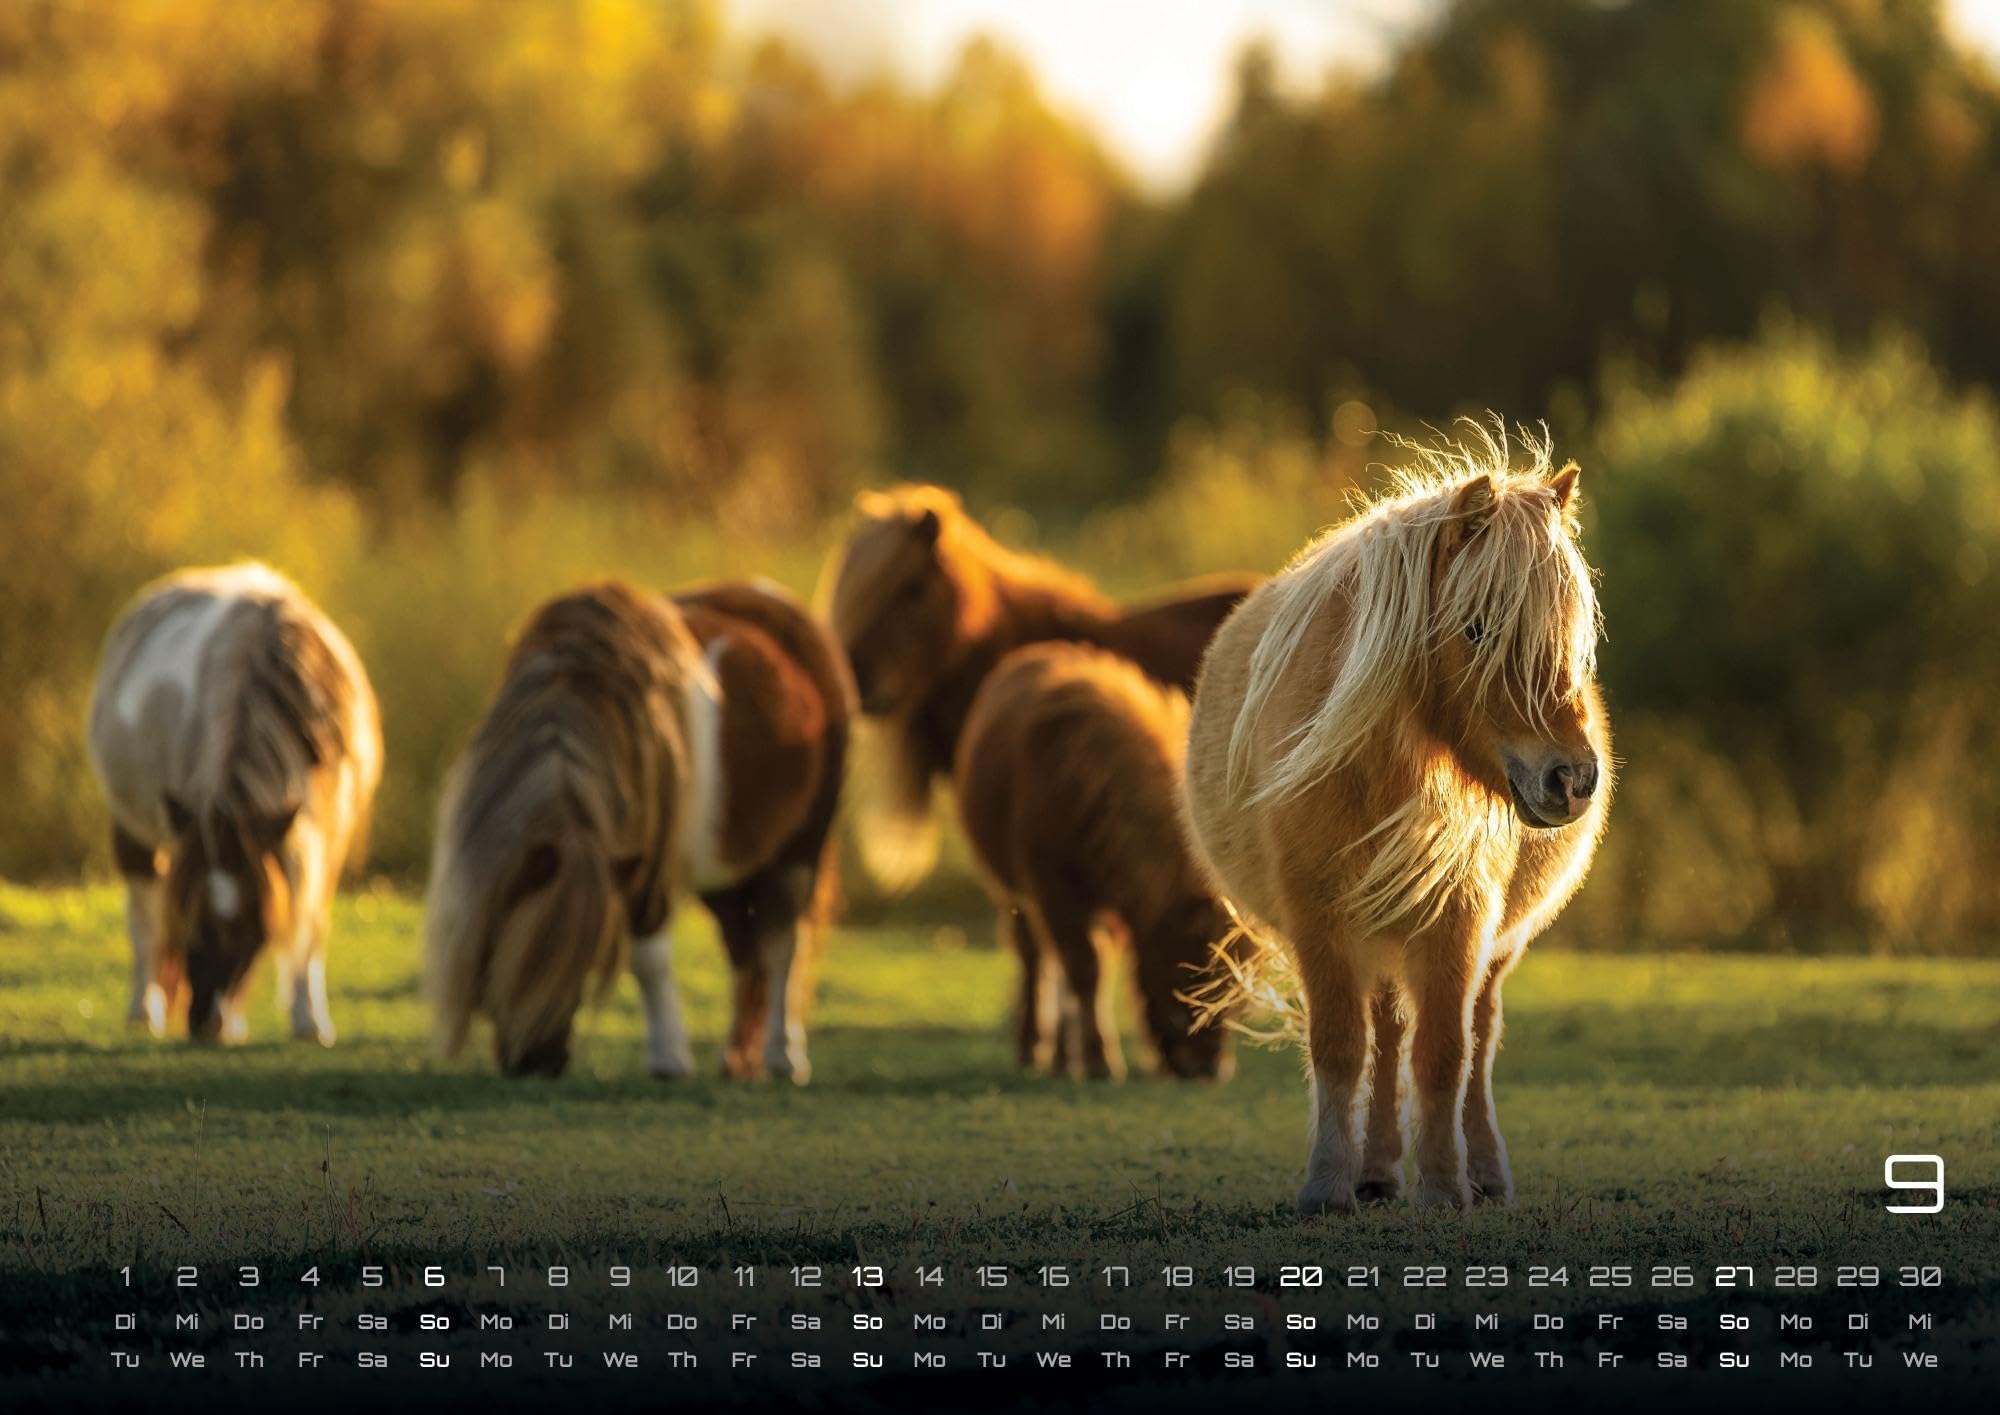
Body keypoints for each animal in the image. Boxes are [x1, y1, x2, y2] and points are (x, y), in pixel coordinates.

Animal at [85, 562, 382, 1045]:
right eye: (188, 918)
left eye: (254, 929)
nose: (206, 1024)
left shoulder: (324, 837)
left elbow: (308, 923)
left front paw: (309, 1019)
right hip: (131, 828)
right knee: (144, 917)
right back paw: (143, 1009)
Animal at [424, 579, 851, 1082]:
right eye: (502, 952)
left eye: (587, 957)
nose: (539, 1063)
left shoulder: (647, 866)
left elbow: (650, 959)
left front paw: (668, 1058)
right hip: (727, 869)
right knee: (745, 950)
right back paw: (738, 1060)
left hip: (799, 850)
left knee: (781, 944)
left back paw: (783, 1056)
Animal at [955, 643, 1239, 1081]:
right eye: (1190, 974)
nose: (1210, 1067)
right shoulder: (1053, 888)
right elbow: (1085, 969)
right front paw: (1098, 1059)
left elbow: (1095, 970)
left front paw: (1088, 1054)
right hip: (1010, 891)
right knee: (1035, 957)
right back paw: (1033, 1048)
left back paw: (1060, 1058)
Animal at [1181, 425, 1611, 1215]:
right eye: (1476, 628)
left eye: (1571, 635)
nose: (1572, 780)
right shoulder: (1319, 918)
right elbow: (1341, 1049)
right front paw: (1328, 1183)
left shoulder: (1458, 924)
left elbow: (1445, 1054)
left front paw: (1444, 1188)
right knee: (1382, 1038)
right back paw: (1376, 1170)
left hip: (1485, 951)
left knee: (1477, 1040)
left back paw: (1483, 1172)